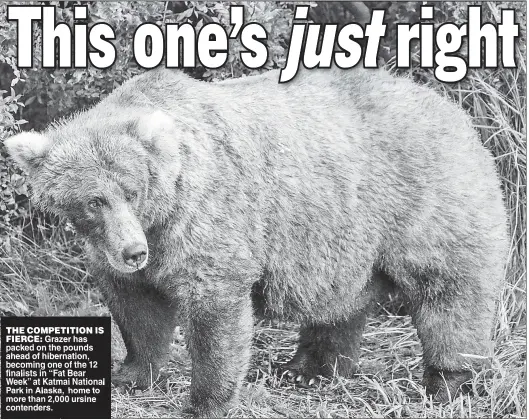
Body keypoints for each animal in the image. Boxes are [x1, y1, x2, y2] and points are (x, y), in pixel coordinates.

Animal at [4, 69, 508, 416]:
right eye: (94, 201)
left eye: (131, 189)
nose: (134, 252)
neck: (161, 219)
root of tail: (456, 111)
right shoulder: (116, 250)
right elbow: (137, 308)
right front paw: (131, 374)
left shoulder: (208, 219)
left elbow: (215, 309)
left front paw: (204, 401)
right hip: (342, 235)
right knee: (339, 300)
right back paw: (309, 369)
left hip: (423, 202)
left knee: (449, 292)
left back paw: (449, 383)